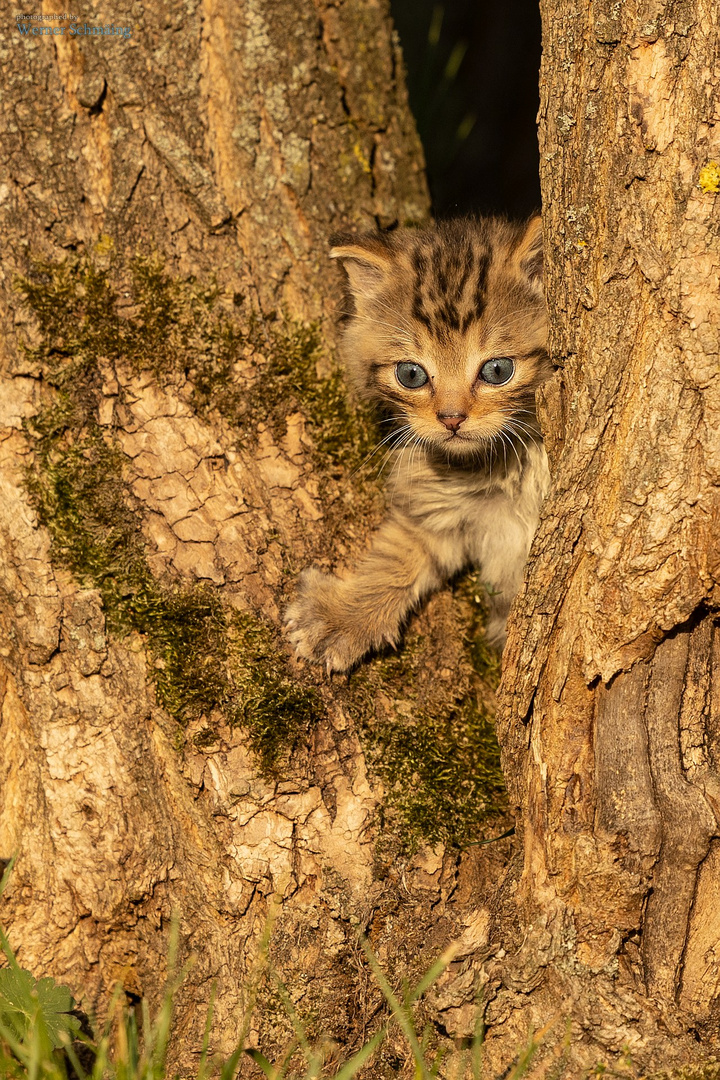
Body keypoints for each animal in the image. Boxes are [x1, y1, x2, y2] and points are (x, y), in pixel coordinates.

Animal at [284, 217, 548, 673]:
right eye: (411, 375)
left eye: (497, 370)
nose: (451, 419)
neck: (504, 464)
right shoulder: (434, 514)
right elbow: (397, 556)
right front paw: (343, 617)